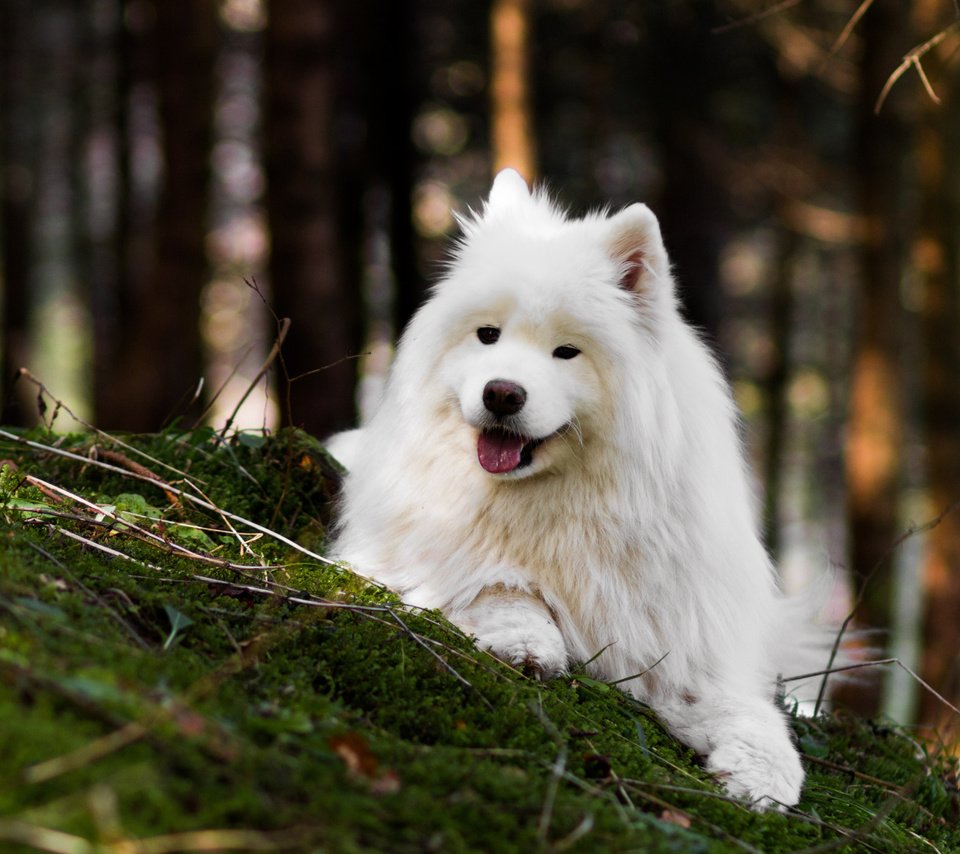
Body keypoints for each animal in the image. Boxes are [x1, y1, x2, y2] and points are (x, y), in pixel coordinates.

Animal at [328, 169, 824, 808]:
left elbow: (750, 711)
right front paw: (527, 641)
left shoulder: (681, 643)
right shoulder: (425, 556)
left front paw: (764, 775)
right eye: (487, 335)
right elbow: (500, 585)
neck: (560, 499)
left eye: (567, 351)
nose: (501, 393)